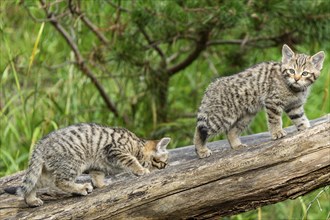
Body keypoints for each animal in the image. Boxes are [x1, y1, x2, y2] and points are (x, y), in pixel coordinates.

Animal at [4, 123, 170, 207]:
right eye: (162, 162)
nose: (165, 166)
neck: (137, 145)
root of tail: (41, 143)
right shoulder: (114, 149)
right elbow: (131, 160)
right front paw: (141, 169)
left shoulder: (97, 164)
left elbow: (97, 175)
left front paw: (101, 185)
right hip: (74, 160)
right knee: (60, 181)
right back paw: (81, 188)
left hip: (48, 171)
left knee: (33, 183)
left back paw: (31, 200)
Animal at [193, 44, 324, 158]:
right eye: (291, 71)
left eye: (305, 73)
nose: (296, 79)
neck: (295, 89)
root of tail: (211, 87)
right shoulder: (272, 101)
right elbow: (275, 119)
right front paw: (277, 132)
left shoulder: (294, 106)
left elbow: (300, 118)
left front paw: (306, 129)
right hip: (221, 116)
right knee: (200, 130)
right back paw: (201, 150)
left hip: (246, 115)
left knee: (231, 131)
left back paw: (236, 145)